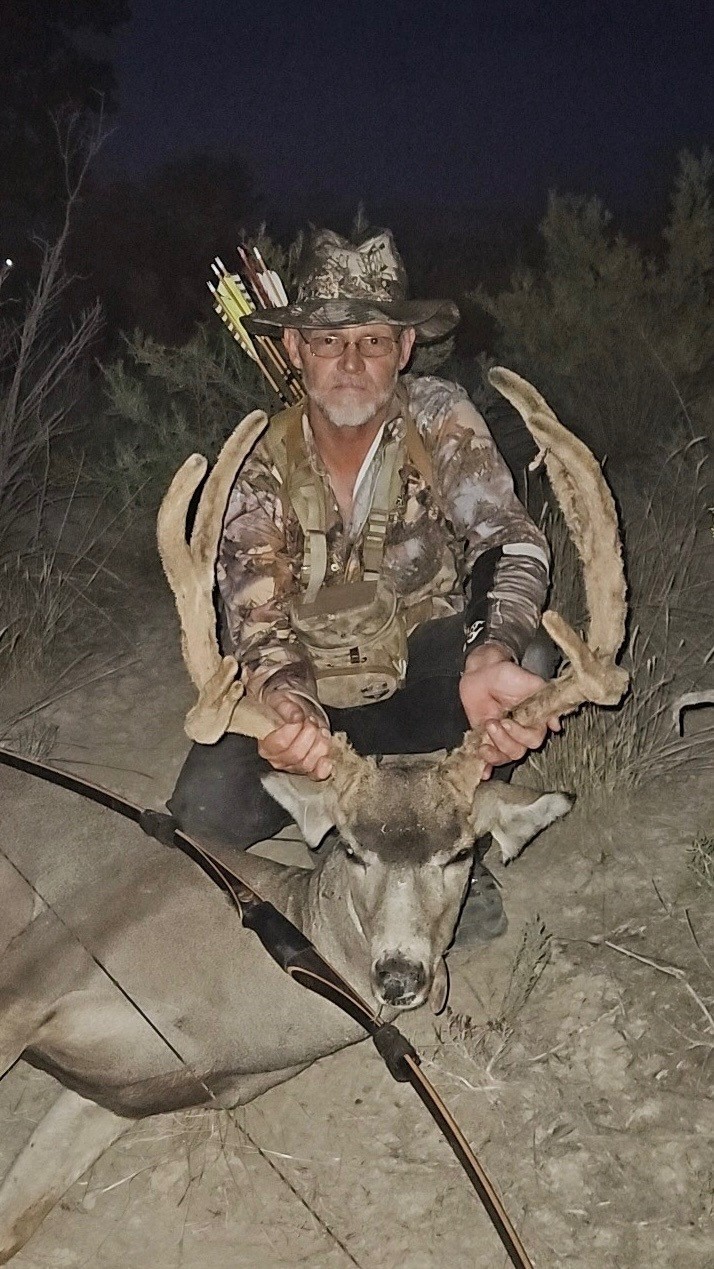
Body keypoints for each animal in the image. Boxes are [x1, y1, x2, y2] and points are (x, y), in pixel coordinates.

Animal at [0, 368, 628, 1263]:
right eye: (355, 849)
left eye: (460, 853)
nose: (398, 974)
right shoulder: (40, 962)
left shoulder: (109, 1095)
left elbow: (17, 1215)